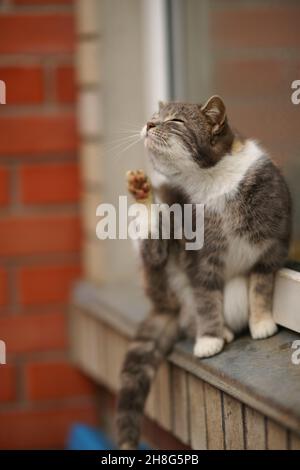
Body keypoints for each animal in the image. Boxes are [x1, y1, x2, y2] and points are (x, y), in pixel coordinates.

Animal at [116, 94, 292, 448]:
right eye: (154, 116)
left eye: (175, 121)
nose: (149, 124)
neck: (209, 181)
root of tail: (164, 305)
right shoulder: (200, 260)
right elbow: (207, 299)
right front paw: (209, 339)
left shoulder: (271, 246)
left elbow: (262, 287)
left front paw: (262, 323)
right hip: (161, 267)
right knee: (154, 247)